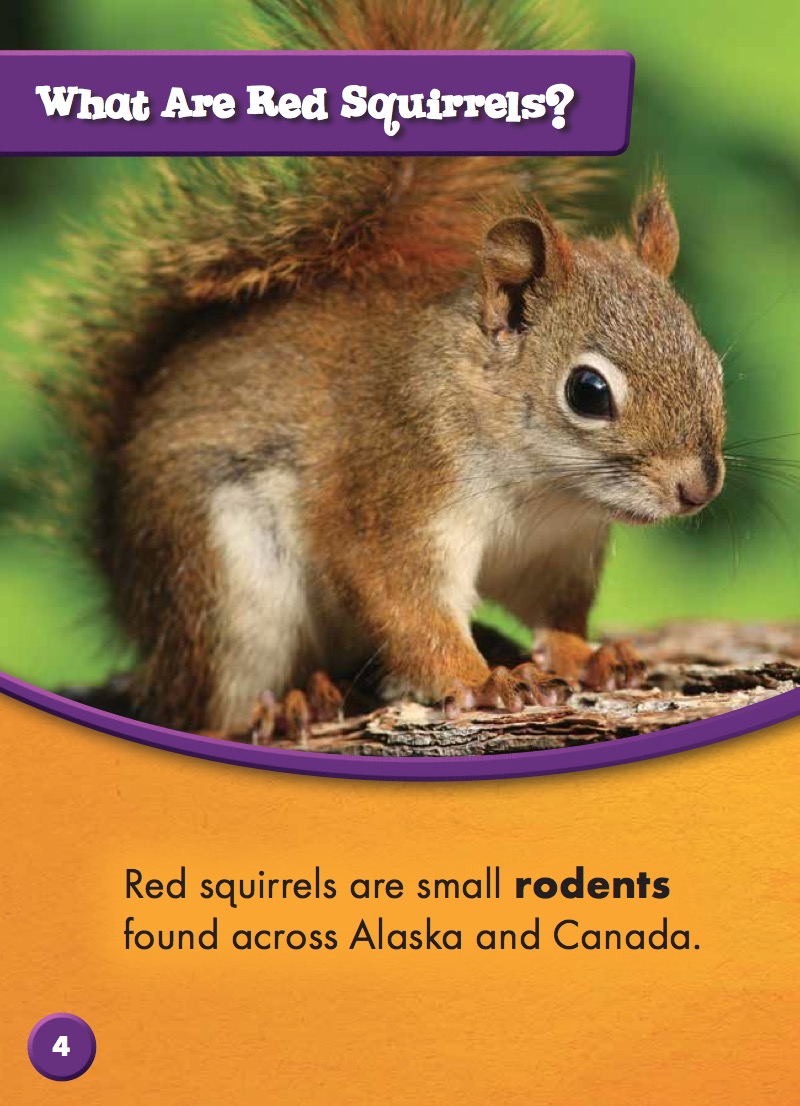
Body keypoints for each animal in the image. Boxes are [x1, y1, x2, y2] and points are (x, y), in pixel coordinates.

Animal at [32, 0, 726, 738]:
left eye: (710, 362)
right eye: (588, 391)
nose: (697, 488)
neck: (544, 489)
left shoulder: (556, 552)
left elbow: (556, 615)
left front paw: (585, 656)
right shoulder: (394, 490)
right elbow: (403, 602)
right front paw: (480, 682)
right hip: (222, 585)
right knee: (215, 706)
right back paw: (286, 704)